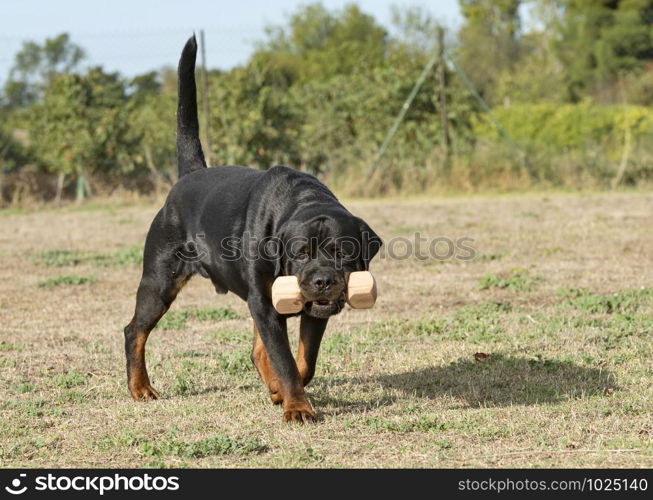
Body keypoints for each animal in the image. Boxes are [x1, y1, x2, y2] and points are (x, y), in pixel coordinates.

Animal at [123, 37, 380, 424]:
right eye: (301, 253)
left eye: (342, 252)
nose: (322, 280)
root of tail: (189, 176)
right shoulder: (265, 302)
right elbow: (285, 360)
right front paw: (297, 407)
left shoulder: (304, 311)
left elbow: (302, 361)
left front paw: (281, 392)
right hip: (159, 281)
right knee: (135, 331)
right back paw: (140, 387)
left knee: (259, 349)